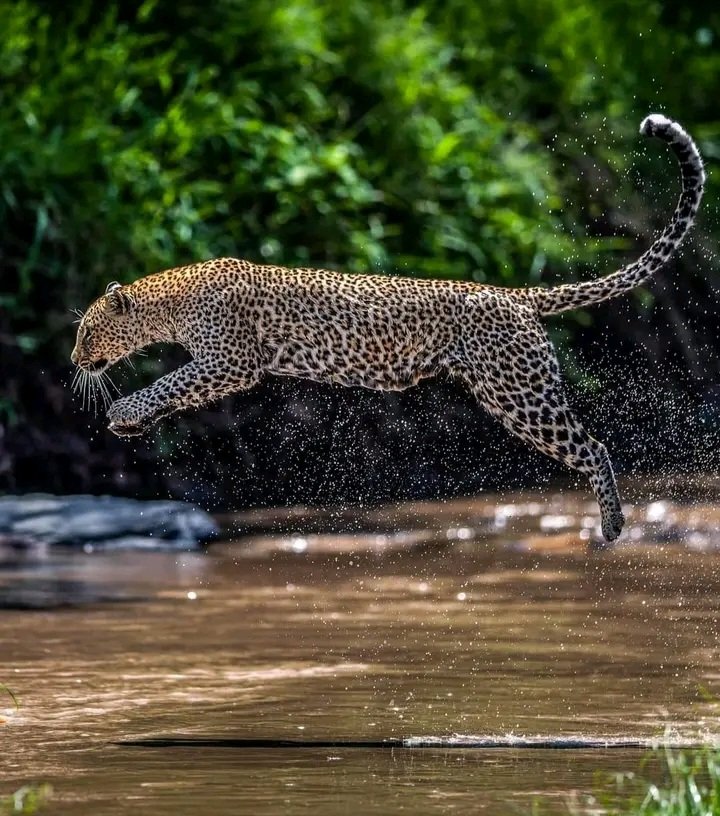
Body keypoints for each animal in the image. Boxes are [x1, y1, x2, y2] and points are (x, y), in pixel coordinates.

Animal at [71, 111, 704, 540]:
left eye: (85, 333)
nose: (74, 361)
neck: (170, 302)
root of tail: (511, 293)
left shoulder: (232, 360)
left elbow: (167, 382)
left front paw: (122, 409)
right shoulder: (221, 367)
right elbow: (175, 389)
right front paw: (133, 421)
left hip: (522, 394)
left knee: (594, 446)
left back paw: (614, 527)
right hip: (502, 394)